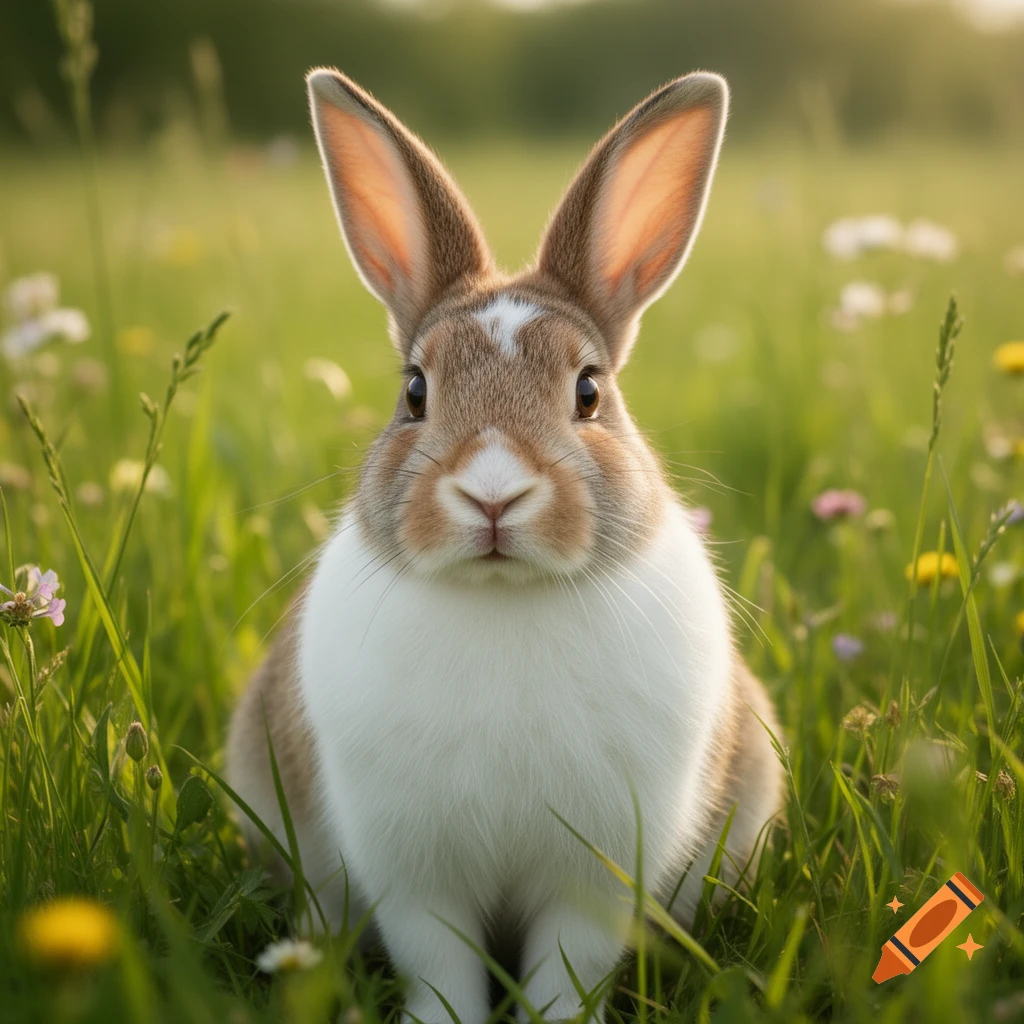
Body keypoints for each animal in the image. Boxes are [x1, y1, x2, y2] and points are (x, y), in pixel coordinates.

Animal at [226, 67, 784, 1024]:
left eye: (590, 392)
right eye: (414, 392)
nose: (493, 494)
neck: (503, 596)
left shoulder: (591, 879)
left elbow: (566, 968)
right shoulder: (416, 876)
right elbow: (438, 965)